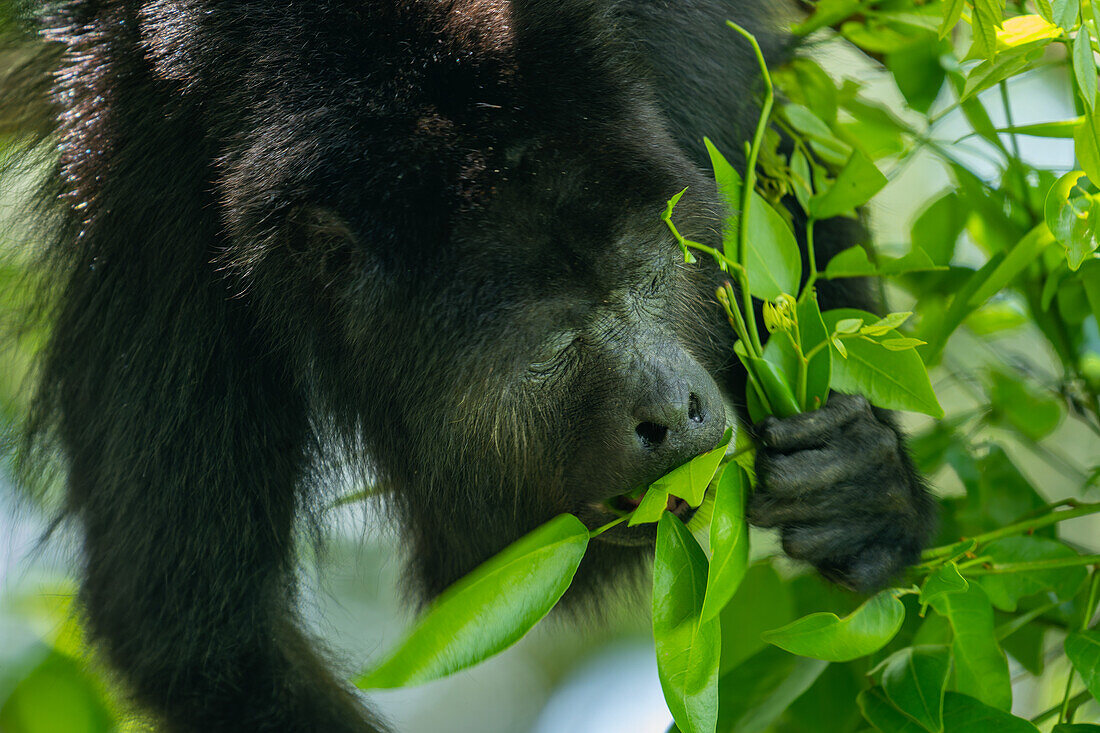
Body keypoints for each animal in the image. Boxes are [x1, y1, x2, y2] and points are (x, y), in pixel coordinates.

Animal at [4, 0, 937, 726]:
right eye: (551, 343)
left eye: (647, 275)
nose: (674, 411)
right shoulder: (152, 209)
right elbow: (198, 630)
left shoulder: (678, 66)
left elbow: (785, 187)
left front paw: (866, 488)